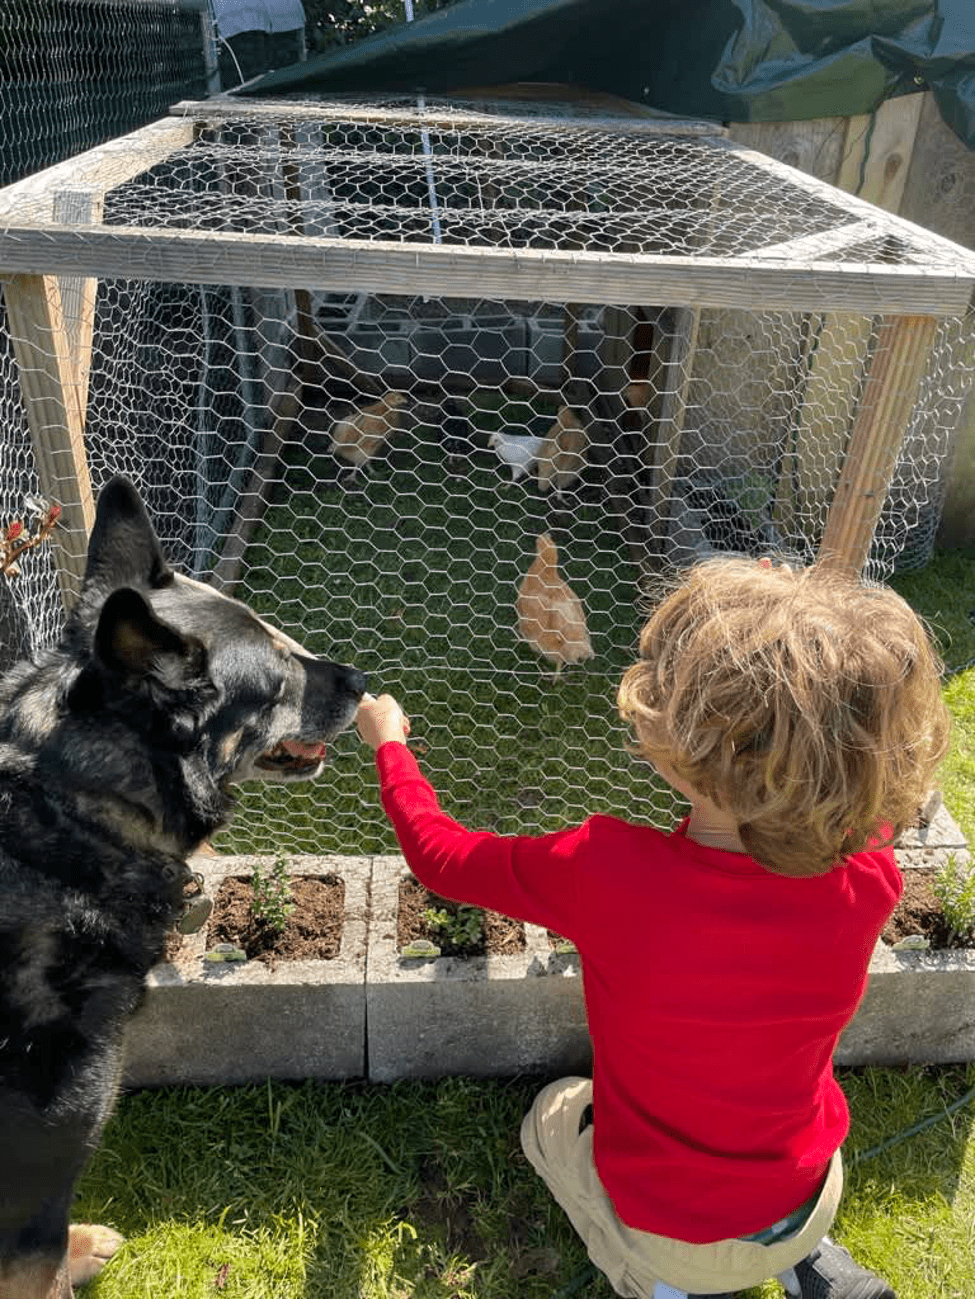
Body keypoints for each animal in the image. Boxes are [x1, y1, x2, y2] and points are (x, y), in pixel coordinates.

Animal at [0, 480, 366, 1300]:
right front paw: (74, 1254)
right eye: (279, 678)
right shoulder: (39, 1169)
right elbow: (39, 1258)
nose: (363, 682)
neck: (70, 809)